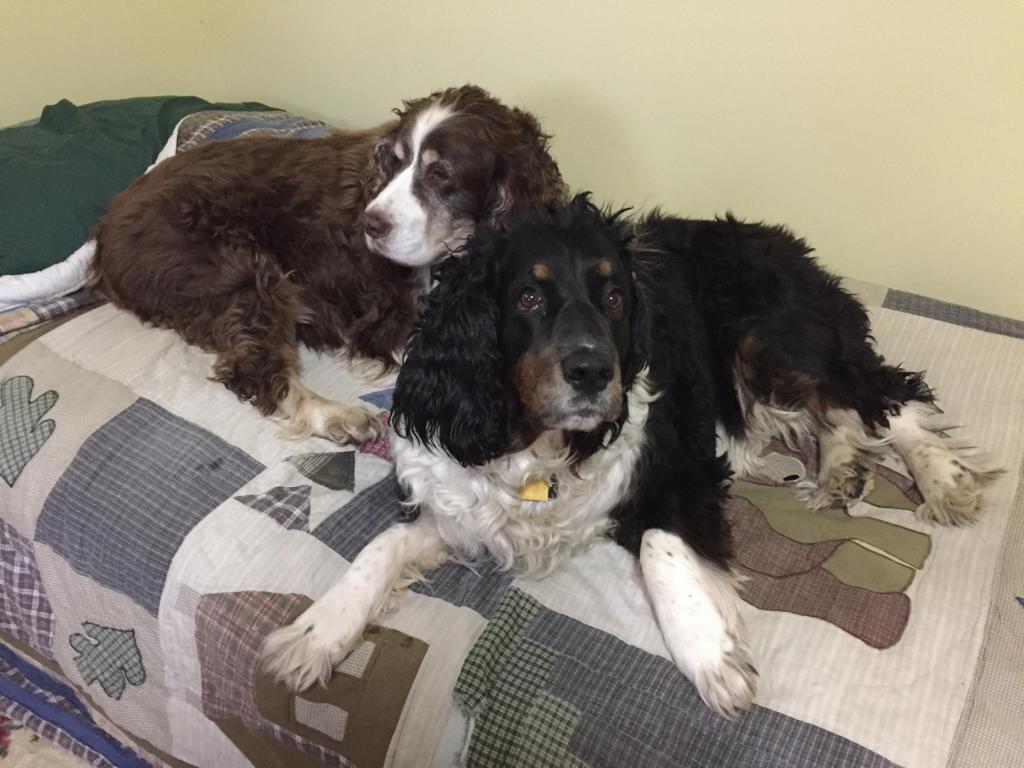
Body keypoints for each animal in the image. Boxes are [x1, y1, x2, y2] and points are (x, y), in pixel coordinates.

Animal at [260, 195, 995, 720]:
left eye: (614, 297)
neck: (538, 445)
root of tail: (783, 241)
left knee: (881, 396)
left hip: (772, 338)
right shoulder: (454, 502)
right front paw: (317, 630)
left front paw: (710, 655)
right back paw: (840, 471)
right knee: (841, 414)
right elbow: (379, 550)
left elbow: (660, 547)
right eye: (528, 296)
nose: (592, 372)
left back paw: (942, 480)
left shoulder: (683, 469)